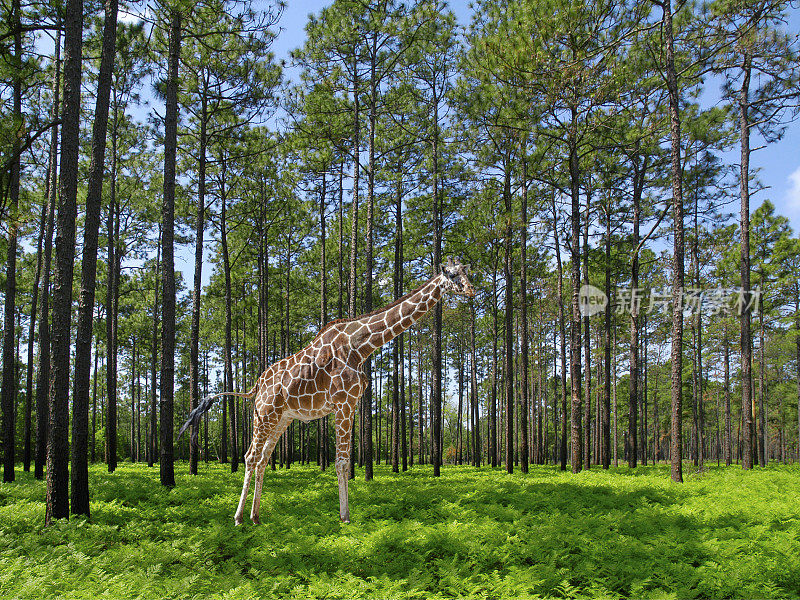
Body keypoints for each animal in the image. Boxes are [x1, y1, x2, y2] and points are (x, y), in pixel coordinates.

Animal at [178, 255, 472, 524]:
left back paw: (256, 517)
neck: (361, 346)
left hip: (281, 419)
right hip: (264, 414)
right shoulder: (343, 403)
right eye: (452, 274)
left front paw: (345, 515)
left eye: (466, 271)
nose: (471, 289)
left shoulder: (352, 405)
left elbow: (346, 460)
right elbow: (341, 462)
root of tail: (256, 387)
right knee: (250, 457)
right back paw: (239, 518)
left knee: (262, 459)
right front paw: (345, 518)